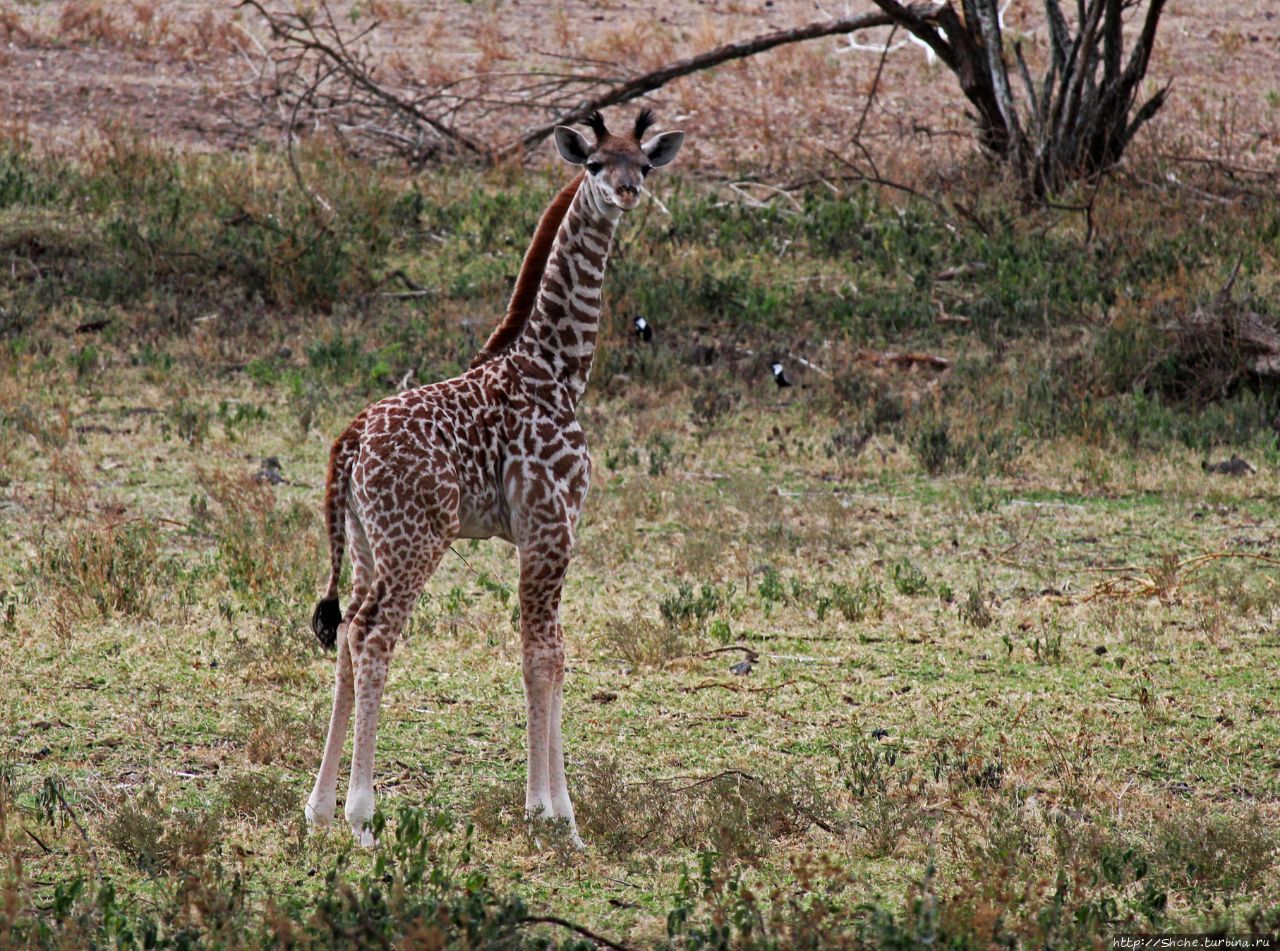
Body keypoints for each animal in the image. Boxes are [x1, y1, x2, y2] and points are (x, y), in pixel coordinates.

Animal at [305, 109, 686, 849]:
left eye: (642, 164)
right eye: (595, 163)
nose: (626, 193)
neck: (558, 371)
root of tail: (351, 439)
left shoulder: (545, 534)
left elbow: (548, 651)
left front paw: (555, 807)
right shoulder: (550, 527)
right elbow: (544, 654)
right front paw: (551, 812)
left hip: (364, 545)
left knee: (347, 636)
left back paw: (319, 807)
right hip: (416, 541)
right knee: (373, 637)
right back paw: (364, 813)